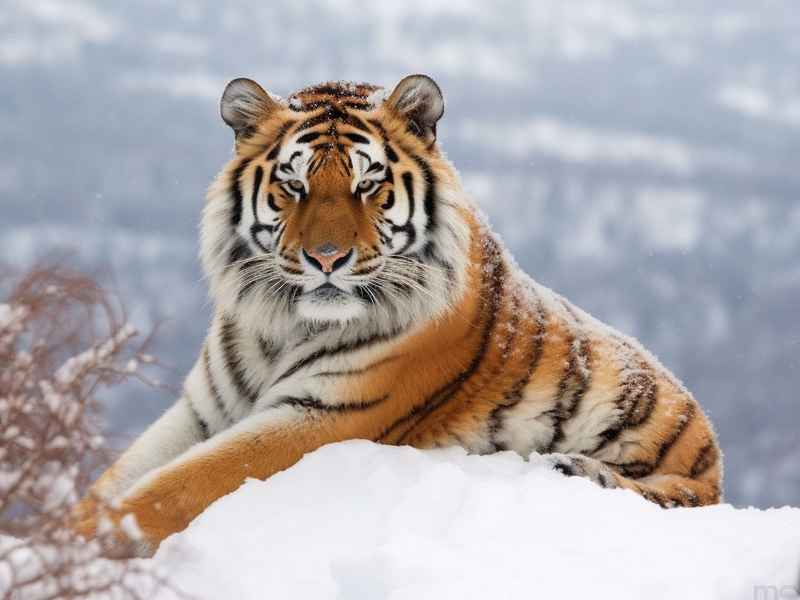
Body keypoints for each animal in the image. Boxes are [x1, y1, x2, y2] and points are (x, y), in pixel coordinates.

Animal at [73, 74, 723, 557]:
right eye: (293, 184)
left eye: (368, 184)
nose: (326, 258)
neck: (281, 324)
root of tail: (713, 449)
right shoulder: (201, 411)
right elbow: (120, 477)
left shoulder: (328, 415)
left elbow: (176, 486)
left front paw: (75, 546)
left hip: (681, 479)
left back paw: (574, 469)